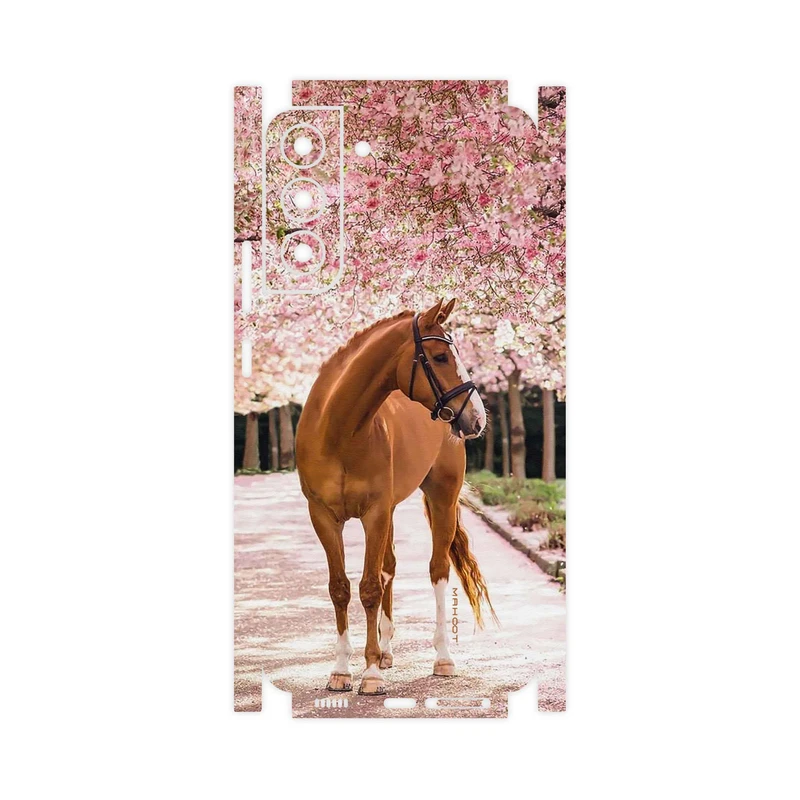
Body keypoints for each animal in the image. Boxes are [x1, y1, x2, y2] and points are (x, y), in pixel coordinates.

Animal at [295, 298, 495, 695]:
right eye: (440, 356)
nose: (477, 418)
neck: (338, 431)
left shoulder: (374, 513)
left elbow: (370, 588)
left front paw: (370, 674)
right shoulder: (324, 516)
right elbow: (340, 588)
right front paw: (341, 670)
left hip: (441, 497)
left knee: (437, 570)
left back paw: (442, 658)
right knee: (389, 567)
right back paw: (386, 651)